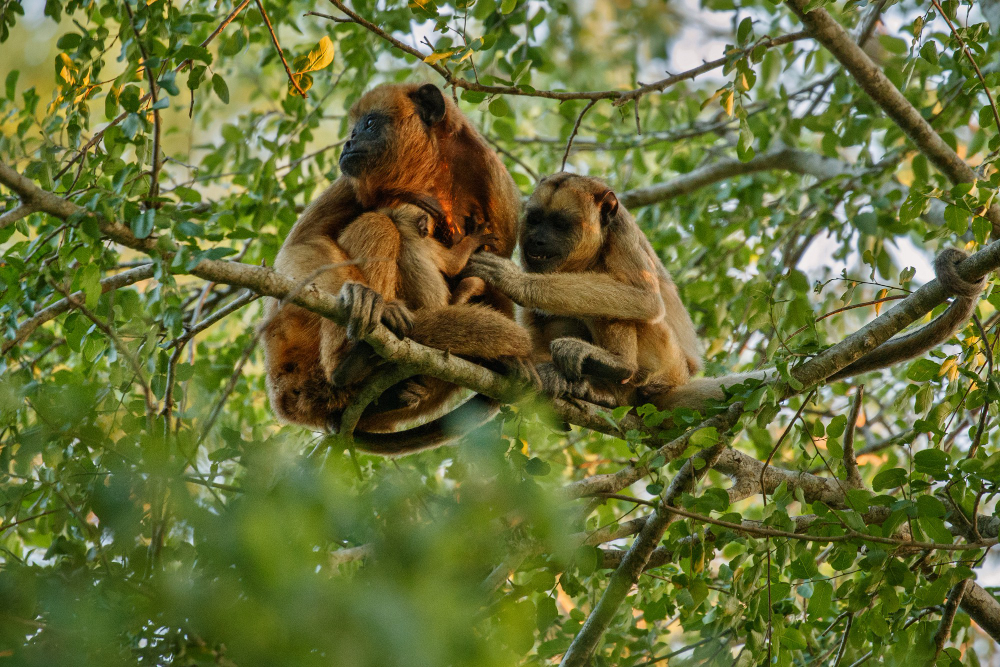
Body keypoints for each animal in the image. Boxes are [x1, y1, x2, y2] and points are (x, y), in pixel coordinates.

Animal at [261, 82, 531, 454]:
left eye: (369, 124)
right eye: (353, 129)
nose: (348, 143)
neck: (432, 171)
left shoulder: (498, 191)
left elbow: (494, 283)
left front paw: (508, 360)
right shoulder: (351, 180)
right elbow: (302, 244)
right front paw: (362, 297)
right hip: (294, 350)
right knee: (377, 224)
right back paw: (352, 356)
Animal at [465, 173, 703, 410]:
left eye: (560, 224)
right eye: (535, 220)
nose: (537, 240)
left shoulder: (622, 232)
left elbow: (646, 299)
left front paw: (515, 282)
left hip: (666, 361)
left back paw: (619, 364)